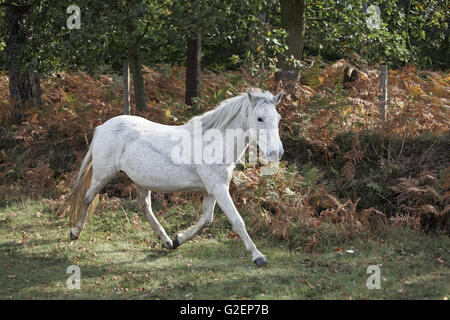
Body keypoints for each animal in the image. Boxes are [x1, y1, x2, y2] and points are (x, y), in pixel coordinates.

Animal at [64, 89, 282, 266]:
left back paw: (167, 241)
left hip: (142, 180)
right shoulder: (218, 188)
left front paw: (178, 239)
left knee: (145, 207)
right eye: (260, 118)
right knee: (88, 197)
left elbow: (207, 219)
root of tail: (102, 127)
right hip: (103, 174)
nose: (276, 153)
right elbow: (237, 220)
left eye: (278, 118)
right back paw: (75, 232)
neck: (213, 143)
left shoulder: (212, 190)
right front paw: (258, 256)